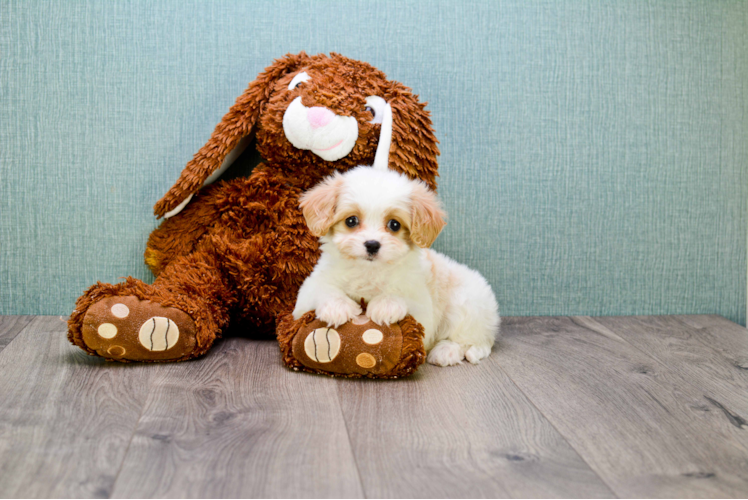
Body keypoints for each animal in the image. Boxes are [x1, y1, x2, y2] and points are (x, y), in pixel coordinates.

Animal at [290, 166, 496, 366]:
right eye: (351, 221)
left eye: (394, 224)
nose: (372, 244)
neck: (369, 271)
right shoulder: (310, 289)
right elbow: (321, 289)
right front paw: (337, 307)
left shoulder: (421, 304)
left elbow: (403, 297)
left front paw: (385, 305)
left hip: (467, 304)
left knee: (474, 341)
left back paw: (447, 351)